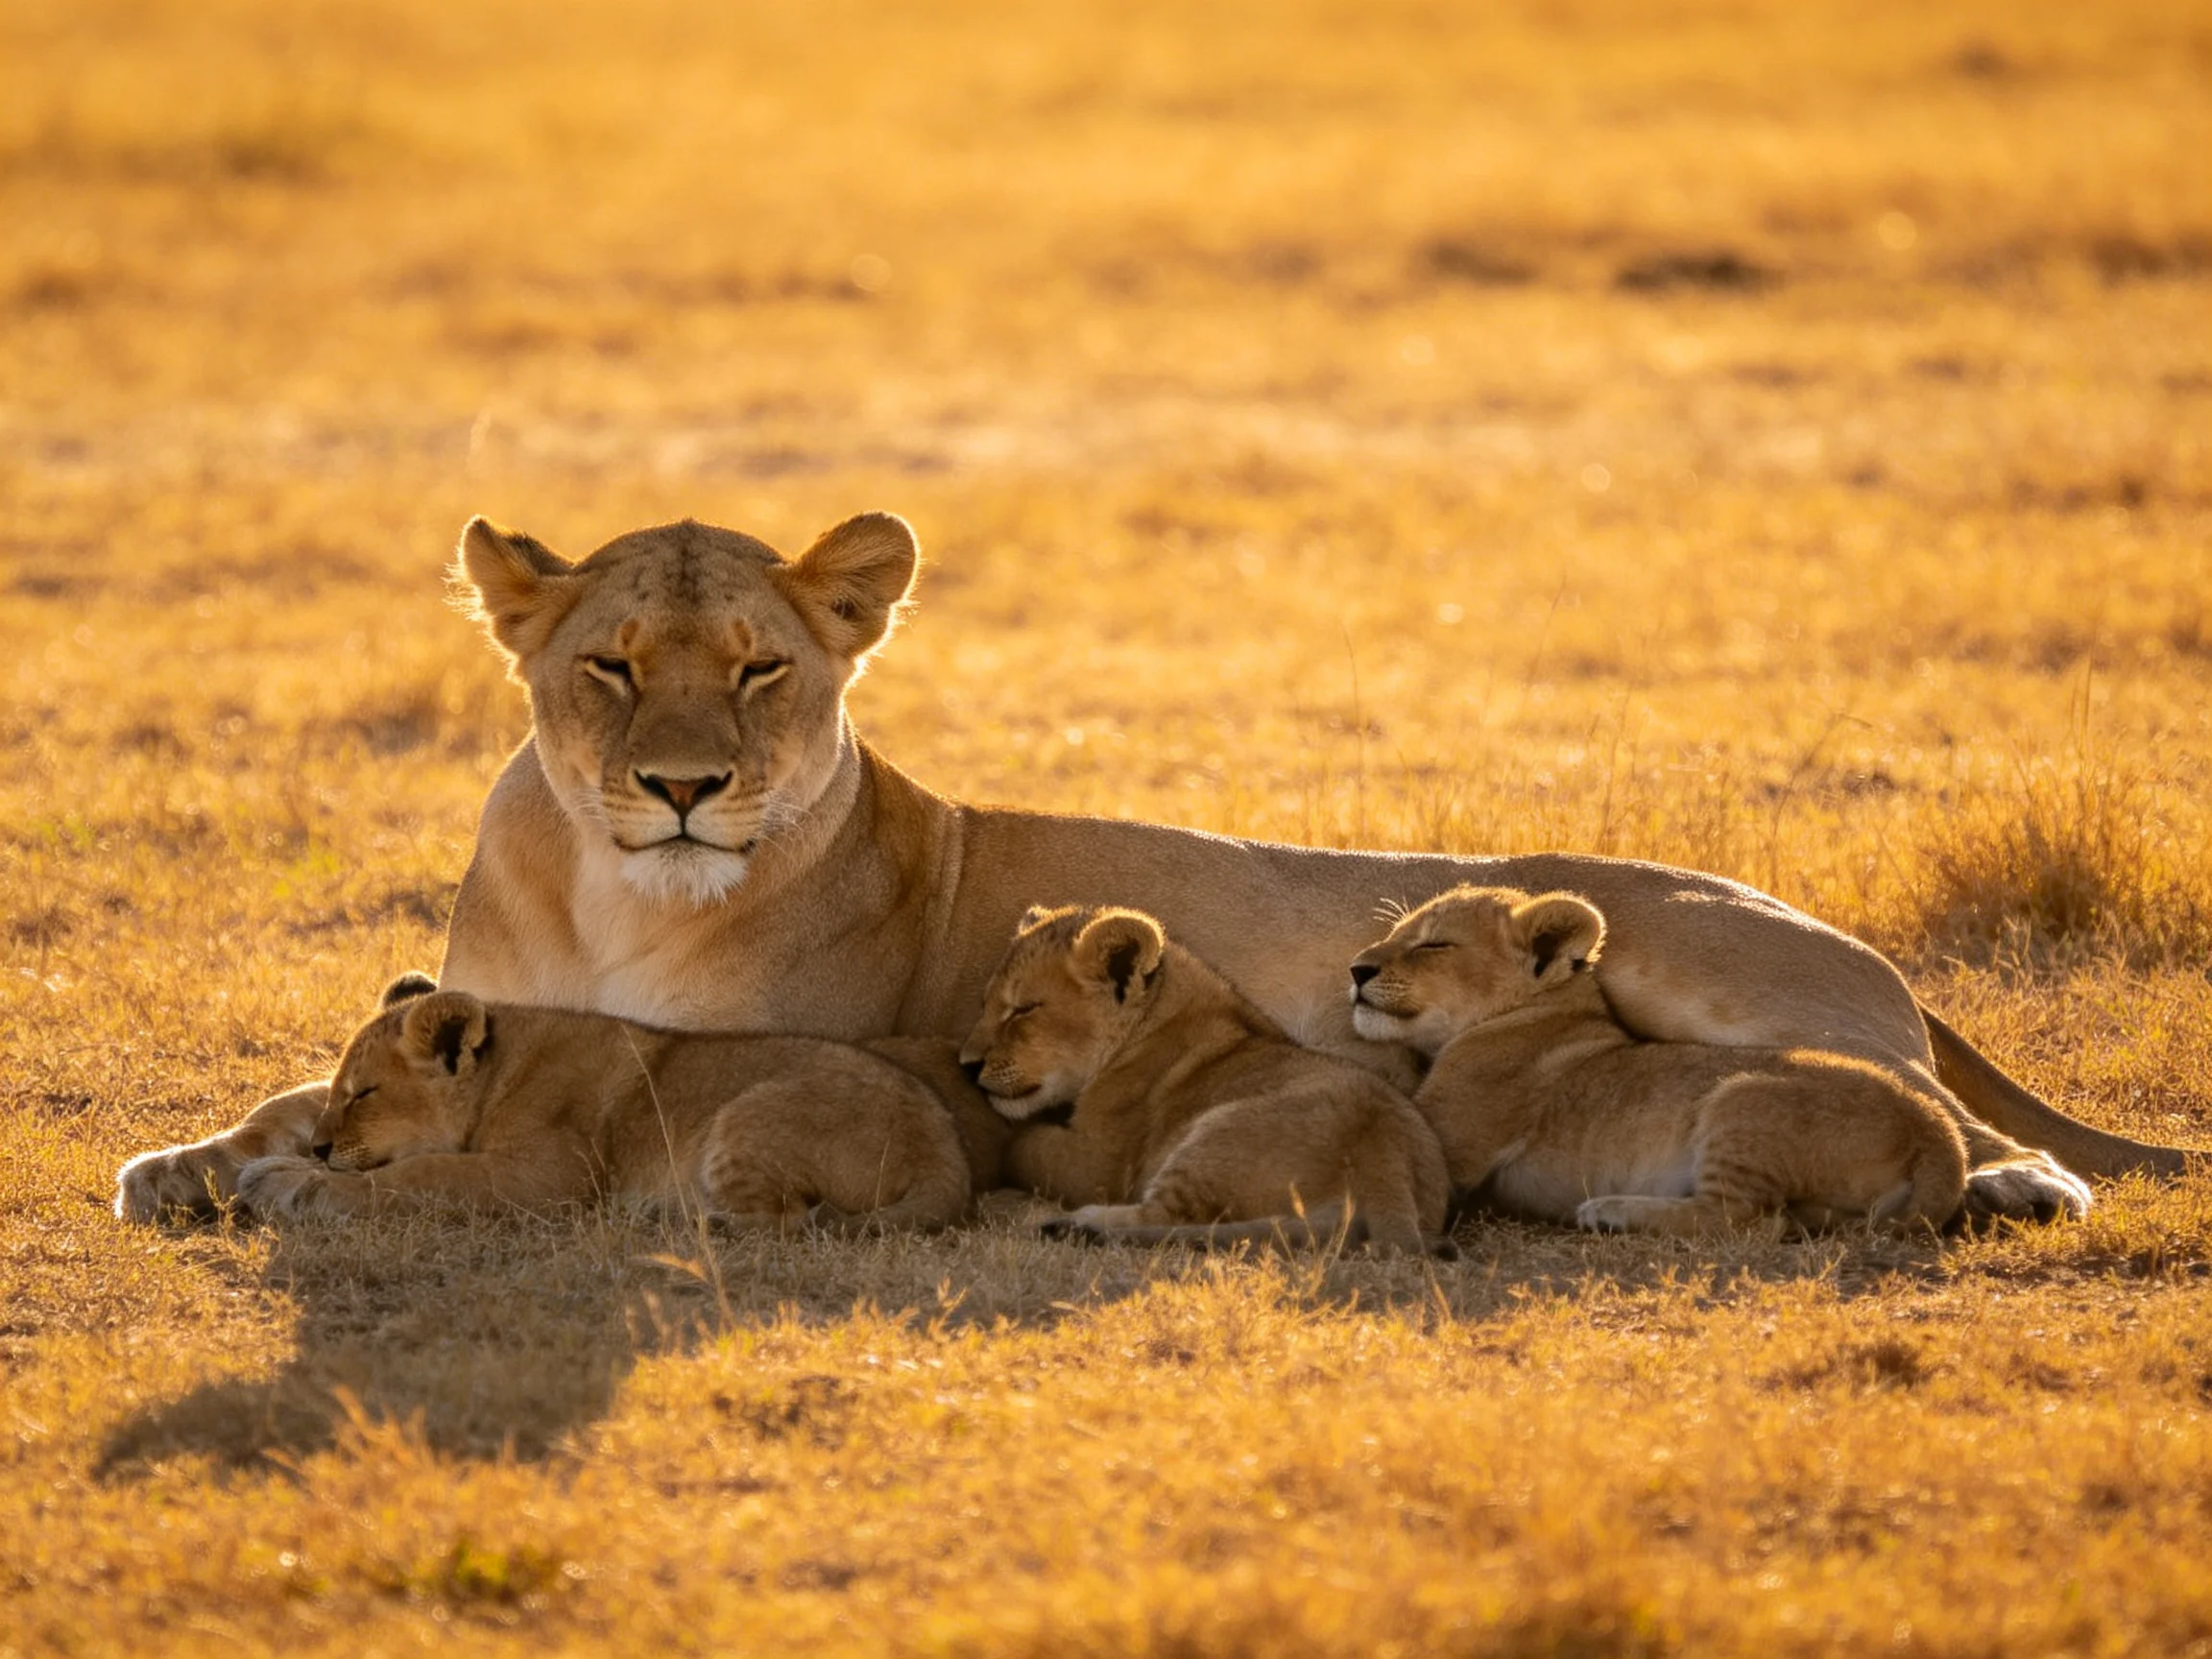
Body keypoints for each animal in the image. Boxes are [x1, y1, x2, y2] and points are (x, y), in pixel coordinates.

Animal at [121, 974, 1002, 1228]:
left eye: (364, 1092)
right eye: (339, 1093)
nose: (321, 1148)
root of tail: (949, 1162)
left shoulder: (548, 1176)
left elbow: (418, 1179)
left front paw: (291, 1185)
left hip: (740, 1119)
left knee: (786, 1218)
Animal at [958, 904, 1449, 1252]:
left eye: (1023, 1009)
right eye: (982, 1005)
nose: (965, 1064)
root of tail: (1382, 1163)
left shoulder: (1096, 1163)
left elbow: (1023, 1147)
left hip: (1216, 1133)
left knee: (1164, 1219)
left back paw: (1066, 1222)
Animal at [1349, 886, 2007, 1234]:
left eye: (1434, 944)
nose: (1356, 969)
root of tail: (1940, 1136)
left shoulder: (1451, 1143)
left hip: (1740, 1099)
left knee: (1746, 1219)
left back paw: (1609, 1210)